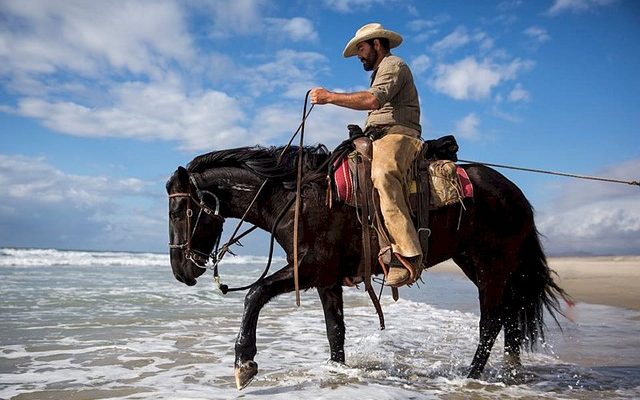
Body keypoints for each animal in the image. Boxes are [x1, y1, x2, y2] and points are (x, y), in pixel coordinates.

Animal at [168, 145, 568, 390]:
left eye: (180, 211)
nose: (181, 271)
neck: (296, 198)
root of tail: (514, 193)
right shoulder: (326, 279)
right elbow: (335, 331)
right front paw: (337, 372)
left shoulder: (309, 267)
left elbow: (255, 293)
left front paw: (244, 364)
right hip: (479, 263)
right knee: (510, 316)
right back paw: (509, 372)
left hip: (491, 267)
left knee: (491, 322)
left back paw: (471, 377)